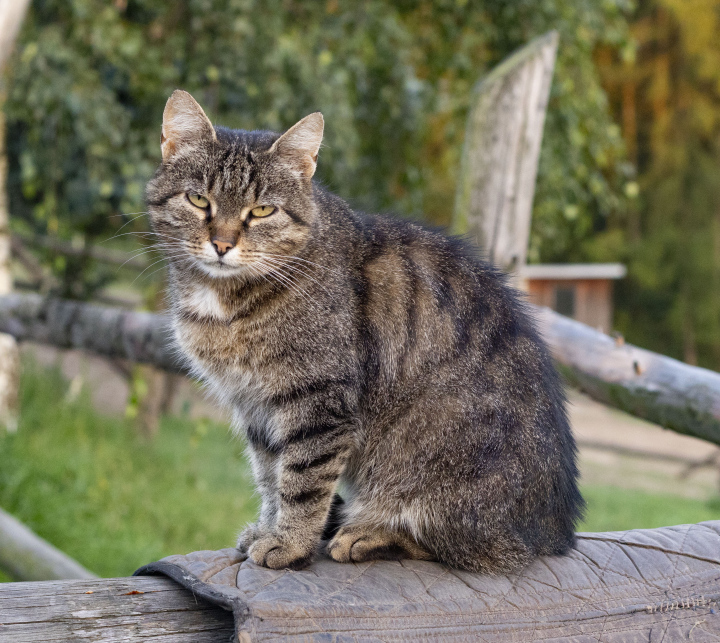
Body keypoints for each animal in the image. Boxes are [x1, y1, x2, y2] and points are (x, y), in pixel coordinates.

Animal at [148, 89, 584, 572]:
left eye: (262, 211)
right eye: (198, 200)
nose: (222, 244)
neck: (225, 302)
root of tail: (557, 533)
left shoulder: (317, 400)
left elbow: (302, 480)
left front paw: (290, 543)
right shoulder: (255, 406)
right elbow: (269, 476)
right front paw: (268, 528)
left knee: (465, 545)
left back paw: (369, 533)